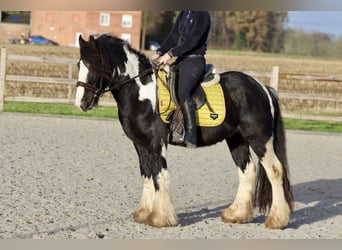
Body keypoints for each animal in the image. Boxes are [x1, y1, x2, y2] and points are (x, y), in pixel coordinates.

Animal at [75, 34, 294, 229]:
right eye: (79, 65)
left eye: (94, 64)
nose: (82, 103)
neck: (142, 93)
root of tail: (263, 88)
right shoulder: (140, 144)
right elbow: (147, 175)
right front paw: (143, 213)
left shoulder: (156, 142)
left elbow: (160, 176)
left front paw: (160, 218)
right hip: (236, 140)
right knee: (248, 171)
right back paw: (236, 215)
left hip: (260, 139)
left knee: (275, 171)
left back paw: (277, 220)